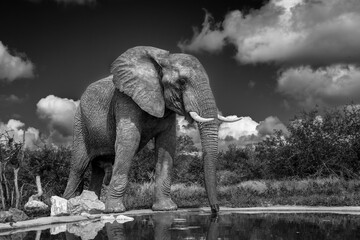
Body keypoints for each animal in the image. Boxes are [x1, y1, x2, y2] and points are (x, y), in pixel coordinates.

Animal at [63, 45, 240, 214]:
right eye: (182, 81)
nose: (215, 210)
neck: (162, 61)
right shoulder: (125, 98)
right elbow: (130, 140)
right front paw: (114, 210)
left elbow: (166, 145)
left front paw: (166, 208)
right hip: (79, 122)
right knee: (78, 166)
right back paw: (69, 206)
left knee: (97, 169)